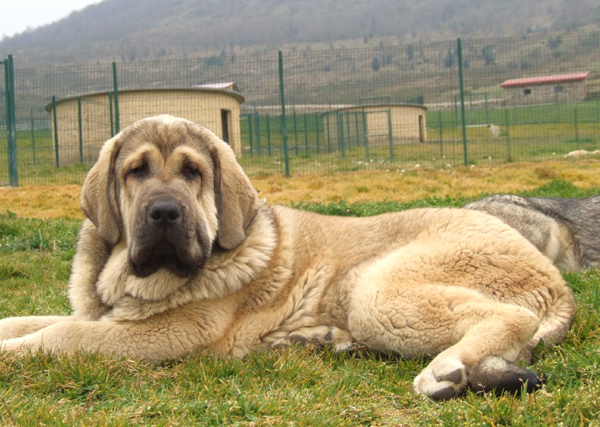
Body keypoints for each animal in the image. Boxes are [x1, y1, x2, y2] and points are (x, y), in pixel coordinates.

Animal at [0, 116, 576, 402]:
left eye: (192, 173)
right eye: (136, 171)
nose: (164, 213)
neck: (119, 275)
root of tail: (556, 281)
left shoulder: (168, 332)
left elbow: (62, 335)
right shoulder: (102, 314)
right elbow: (30, 320)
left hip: (378, 291)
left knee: (512, 318)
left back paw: (444, 371)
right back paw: (315, 339)